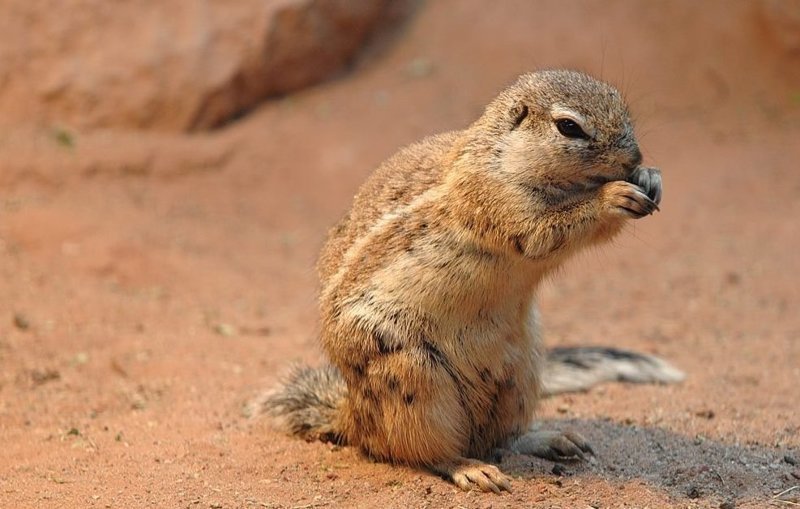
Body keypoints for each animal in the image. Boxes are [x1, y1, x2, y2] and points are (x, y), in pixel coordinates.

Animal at [260, 69, 684, 490]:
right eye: (569, 127)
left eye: (619, 102)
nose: (635, 158)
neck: (502, 154)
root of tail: (354, 416)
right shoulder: (496, 202)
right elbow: (544, 232)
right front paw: (612, 196)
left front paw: (651, 177)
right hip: (414, 378)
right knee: (423, 452)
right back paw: (469, 468)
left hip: (523, 371)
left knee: (501, 439)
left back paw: (550, 439)